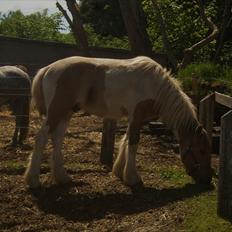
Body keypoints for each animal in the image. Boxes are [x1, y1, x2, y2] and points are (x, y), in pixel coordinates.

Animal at [24, 56, 213, 188]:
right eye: (202, 150)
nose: (208, 179)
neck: (154, 85)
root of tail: (47, 68)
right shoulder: (136, 118)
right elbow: (133, 144)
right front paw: (132, 178)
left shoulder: (133, 119)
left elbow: (125, 141)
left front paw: (120, 172)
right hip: (56, 113)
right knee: (41, 139)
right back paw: (33, 180)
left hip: (65, 114)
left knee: (57, 139)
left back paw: (63, 177)